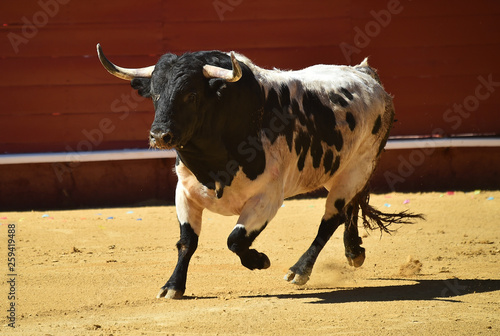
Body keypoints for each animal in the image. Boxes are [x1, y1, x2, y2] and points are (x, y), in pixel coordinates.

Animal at [95, 44, 420, 300]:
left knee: (332, 218)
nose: (160, 135)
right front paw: (173, 286)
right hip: (342, 173)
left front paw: (259, 260)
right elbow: (187, 242)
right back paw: (354, 252)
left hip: (358, 167)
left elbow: (235, 239)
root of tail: (366, 73)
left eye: (191, 94)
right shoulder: (184, 192)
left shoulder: (267, 198)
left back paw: (299, 270)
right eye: (154, 94)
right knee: (349, 208)